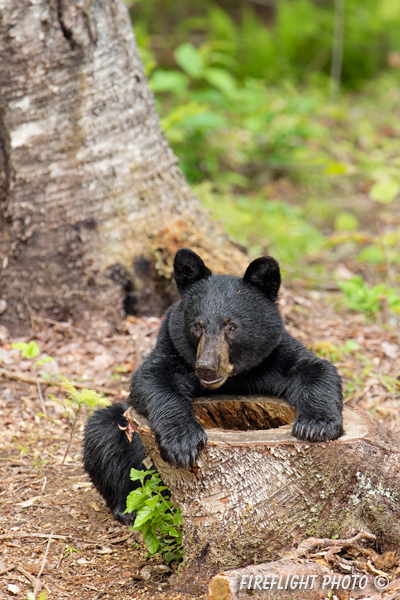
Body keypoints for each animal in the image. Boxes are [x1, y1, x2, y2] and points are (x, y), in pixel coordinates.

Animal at [83, 246, 342, 524]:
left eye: (232, 327)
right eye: (197, 326)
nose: (206, 367)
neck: (234, 379)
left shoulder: (273, 357)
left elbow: (316, 369)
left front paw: (316, 425)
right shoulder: (171, 349)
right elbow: (152, 379)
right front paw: (183, 441)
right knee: (104, 437)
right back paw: (126, 509)